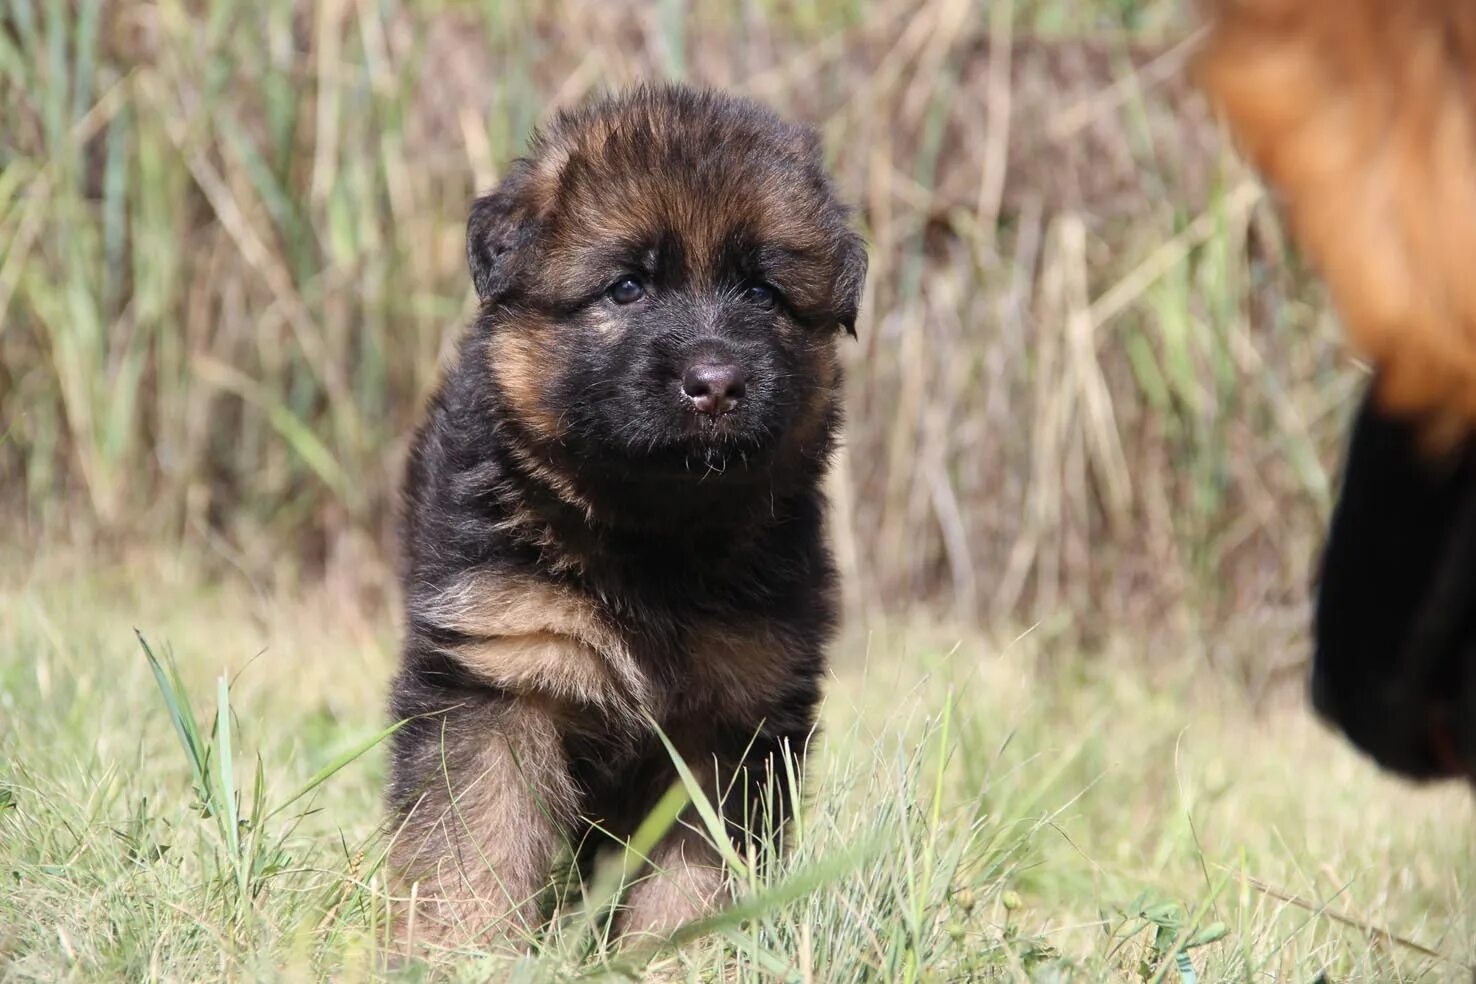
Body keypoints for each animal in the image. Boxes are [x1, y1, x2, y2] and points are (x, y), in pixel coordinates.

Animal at [383, 88, 861, 950]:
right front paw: (458, 949)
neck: (654, 539)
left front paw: (675, 953)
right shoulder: (500, 672)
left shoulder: (732, 714)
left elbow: (692, 875)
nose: (715, 382)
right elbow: (474, 840)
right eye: (627, 288)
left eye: (763, 294)